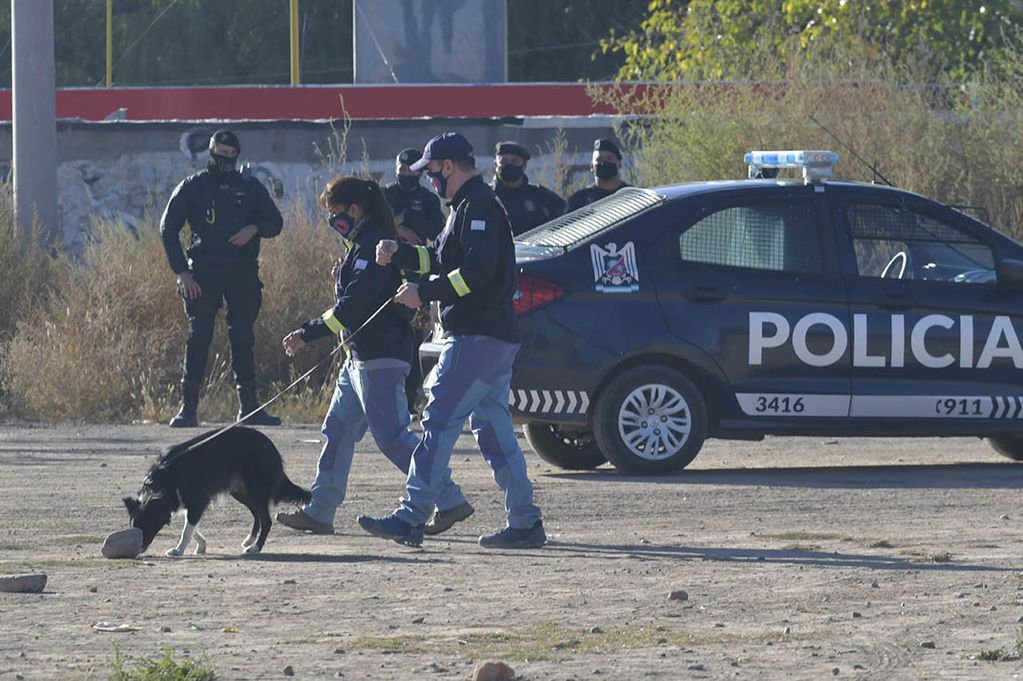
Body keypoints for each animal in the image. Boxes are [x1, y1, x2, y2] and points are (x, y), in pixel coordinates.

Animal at [123, 427, 308, 556]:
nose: (139, 549)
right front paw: (201, 546)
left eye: (145, 526)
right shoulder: (188, 503)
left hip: (254, 489)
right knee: (257, 515)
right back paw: (249, 540)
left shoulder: (198, 501)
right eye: (134, 528)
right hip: (240, 491)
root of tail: (271, 446)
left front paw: (178, 550)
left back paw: (255, 548)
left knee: (266, 520)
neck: (162, 482)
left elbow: (186, 530)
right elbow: (191, 527)